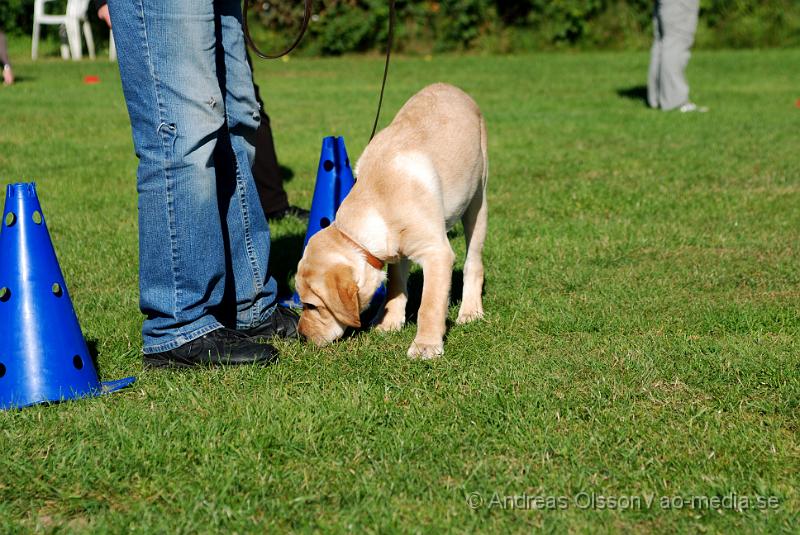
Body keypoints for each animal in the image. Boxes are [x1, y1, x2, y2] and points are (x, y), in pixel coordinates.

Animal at [296, 82, 488, 360]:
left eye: (311, 305)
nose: (301, 336)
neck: (377, 202)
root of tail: (449, 86)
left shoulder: (437, 252)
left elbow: (430, 305)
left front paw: (426, 344)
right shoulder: (395, 251)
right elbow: (396, 285)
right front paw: (389, 322)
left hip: (477, 201)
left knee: (474, 262)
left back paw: (470, 310)